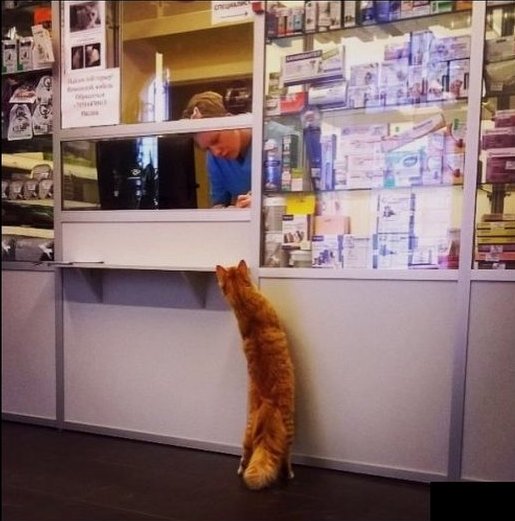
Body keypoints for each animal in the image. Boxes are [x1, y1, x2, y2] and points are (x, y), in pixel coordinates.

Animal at [215, 259, 295, 490]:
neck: (243, 301)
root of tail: (268, 404)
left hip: (246, 434)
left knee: (244, 456)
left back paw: (240, 471)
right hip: (290, 430)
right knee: (285, 458)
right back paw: (290, 474)